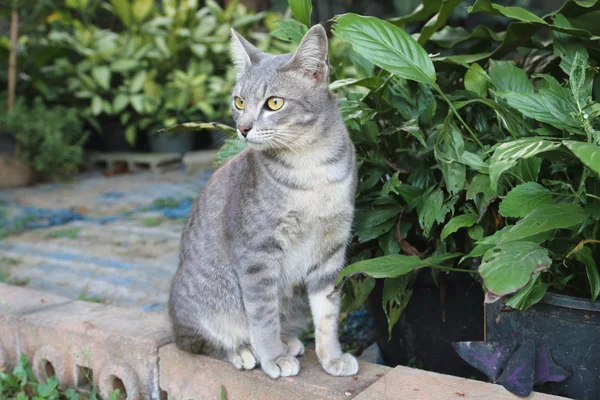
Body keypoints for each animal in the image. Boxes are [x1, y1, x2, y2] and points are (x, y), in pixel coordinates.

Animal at [166, 25, 358, 378]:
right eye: (239, 101)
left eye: (274, 102)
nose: (242, 128)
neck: (312, 169)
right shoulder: (257, 254)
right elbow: (262, 315)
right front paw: (272, 358)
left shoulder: (331, 251)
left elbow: (327, 313)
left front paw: (331, 357)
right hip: (200, 309)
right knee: (200, 344)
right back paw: (244, 350)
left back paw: (288, 341)